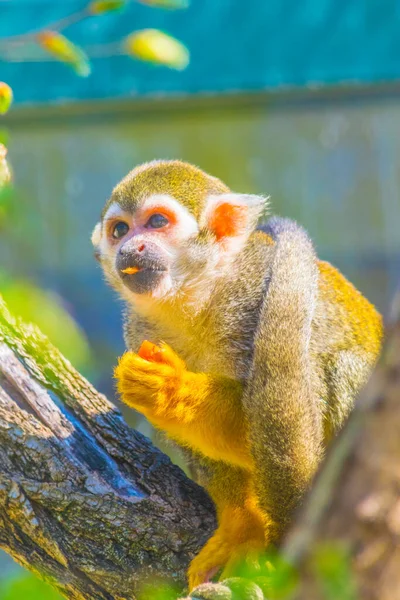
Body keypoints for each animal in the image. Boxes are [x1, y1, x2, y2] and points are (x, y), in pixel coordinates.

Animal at [92, 159, 382, 592]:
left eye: (157, 221)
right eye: (119, 230)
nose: (131, 248)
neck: (201, 295)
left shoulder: (257, 296)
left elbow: (284, 423)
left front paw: (172, 390)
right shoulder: (140, 330)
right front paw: (241, 528)